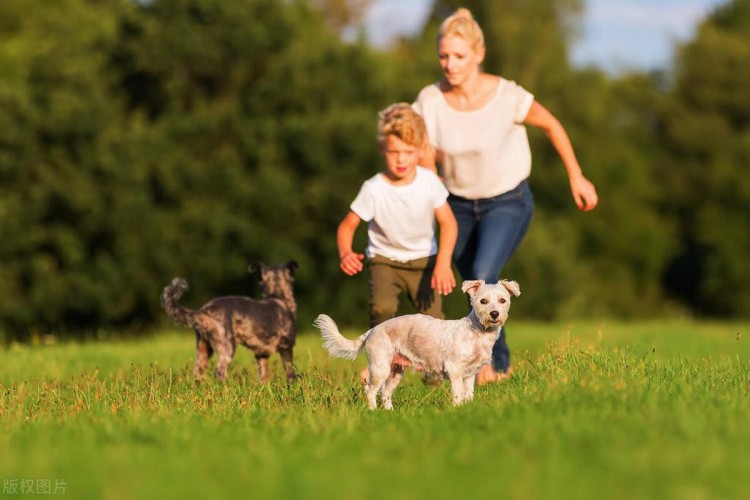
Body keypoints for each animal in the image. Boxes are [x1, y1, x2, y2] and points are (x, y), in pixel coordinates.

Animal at [162, 262, 300, 382]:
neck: (278, 296)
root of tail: (203, 312)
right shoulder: (286, 347)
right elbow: (290, 372)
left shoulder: (261, 354)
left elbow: (263, 375)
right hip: (227, 347)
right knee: (219, 372)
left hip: (203, 348)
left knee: (197, 372)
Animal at [314, 280, 520, 408]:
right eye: (483, 301)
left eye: (502, 300)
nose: (494, 313)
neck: (477, 332)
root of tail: (372, 330)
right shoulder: (455, 369)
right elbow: (458, 392)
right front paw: (457, 408)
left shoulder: (470, 373)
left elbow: (468, 393)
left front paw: (467, 407)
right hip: (380, 367)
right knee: (371, 390)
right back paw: (372, 410)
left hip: (395, 371)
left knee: (386, 392)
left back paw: (389, 412)